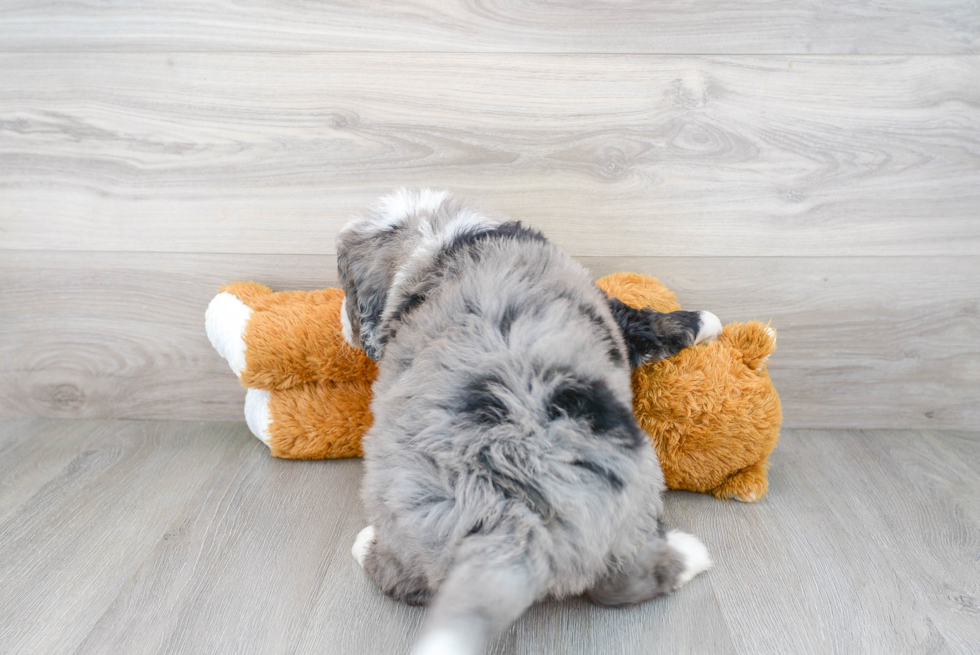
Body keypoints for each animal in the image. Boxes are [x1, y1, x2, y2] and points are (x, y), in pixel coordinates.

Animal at [338, 190, 720, 655]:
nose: (343, 323)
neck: (435, 239)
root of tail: (509, 514)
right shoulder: (614, 314)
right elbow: (649, 324)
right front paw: (707, 321)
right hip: (635, 493)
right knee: (625, 581)